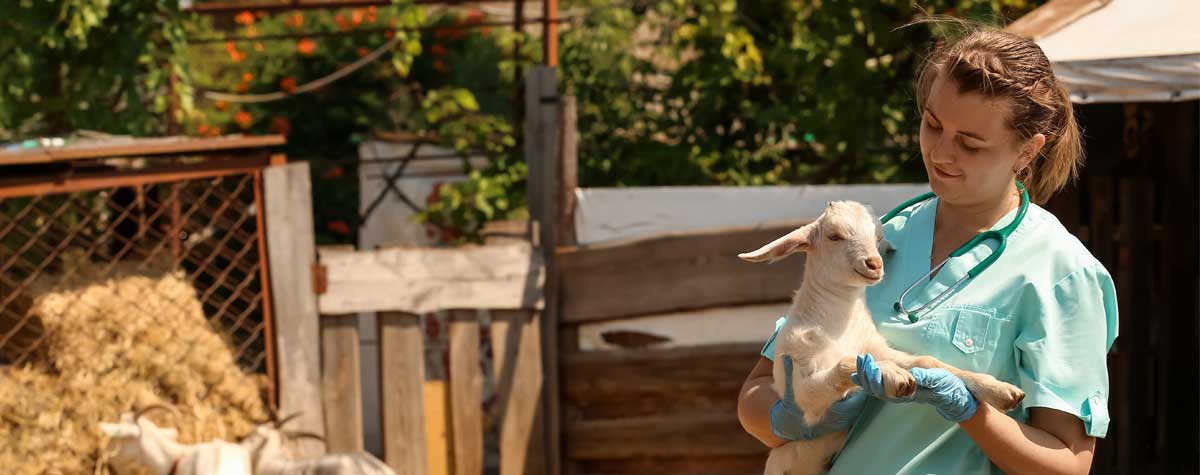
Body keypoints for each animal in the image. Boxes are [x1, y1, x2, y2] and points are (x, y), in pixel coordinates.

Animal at [739, 200, 1022, 475]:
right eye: (834, 236)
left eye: (877, 237)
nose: (874, 264)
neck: (837, 327)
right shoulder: (803, 396)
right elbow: (847, 363)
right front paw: (893, 375)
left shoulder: (875, 347)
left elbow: (927, 361)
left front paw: (1000, 390)